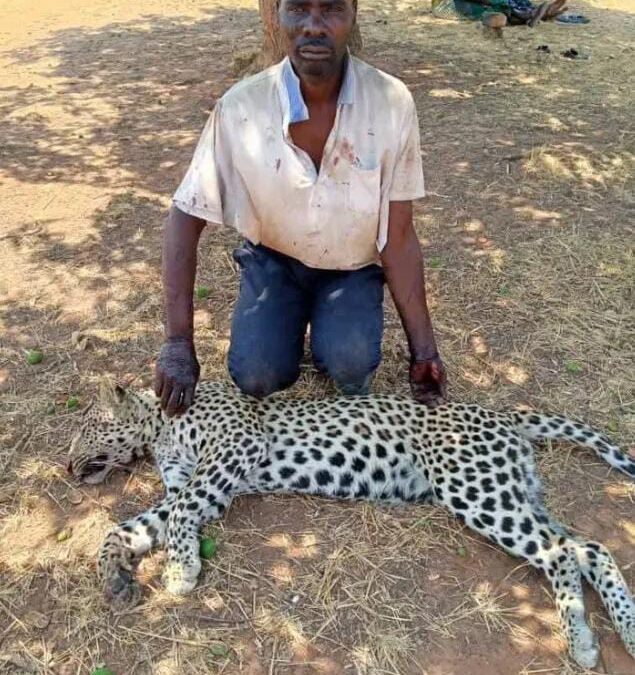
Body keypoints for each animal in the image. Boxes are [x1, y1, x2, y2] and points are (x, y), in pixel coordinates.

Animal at [67, 379, 635, 669]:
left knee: (560, 552)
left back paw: (584, 641)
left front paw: (180, 572)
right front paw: (115, 576)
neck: (161, 426)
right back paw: (614, 635)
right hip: (511, 489)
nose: (67, 466)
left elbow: (182, 512)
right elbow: (131, 525)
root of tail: (501, 414)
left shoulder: (235, 448)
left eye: (87, 427)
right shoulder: (194, 481)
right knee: (588, 547)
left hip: (475, 489)